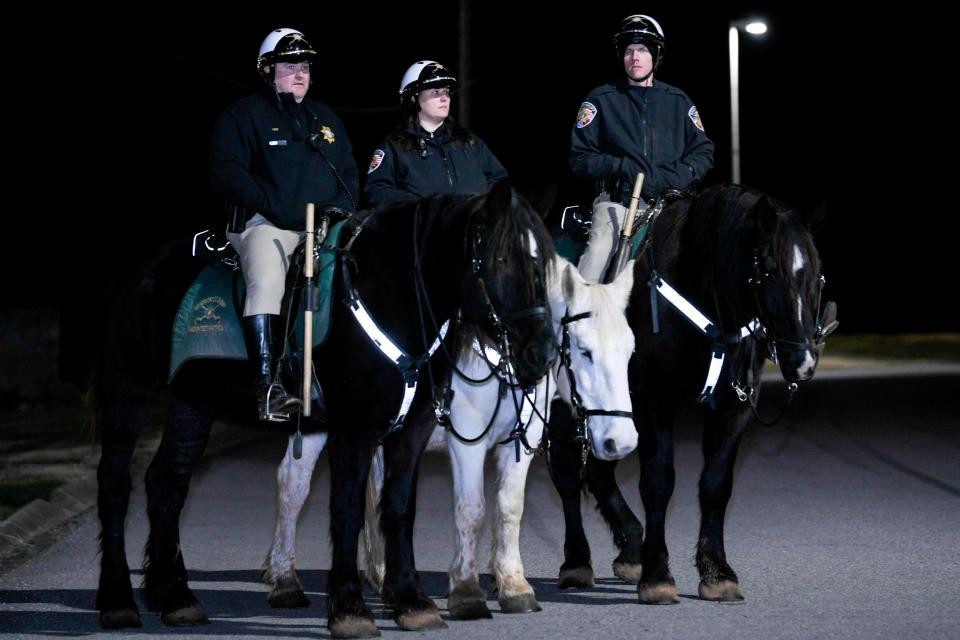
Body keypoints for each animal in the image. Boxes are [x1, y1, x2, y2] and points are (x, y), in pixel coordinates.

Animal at [94, 180, 560, 636]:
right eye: (501, 258)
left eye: (544, 262)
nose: (541, 353)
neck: (391, 295)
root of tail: (138, 269)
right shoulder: (356, 430)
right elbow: (349, 511)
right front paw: (350, 608)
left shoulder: (411, 431)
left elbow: (398, 509)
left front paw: (411, 602)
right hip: (127, 391)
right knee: (117, 484)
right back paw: (118, 602)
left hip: (192, 402)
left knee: (167, 482)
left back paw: (174, 597)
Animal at [262, 256, 636, 620]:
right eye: (584, 351)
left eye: (630, 351)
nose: (621, 441)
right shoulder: (467, 439)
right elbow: (471, 510)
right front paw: (466, 591)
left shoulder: (520, 440)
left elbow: (509, 507)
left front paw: (513, 586)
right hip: (318, 424)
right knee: (293, 485)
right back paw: (284, 579)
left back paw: (383, 580)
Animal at [548, 184, 832, 604]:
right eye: (766, 270)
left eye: (816, 272)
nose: (803, 362)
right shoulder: (651, 402)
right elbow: (658, 482)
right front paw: (657, 575)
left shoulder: (733, 408)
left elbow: (715, 485)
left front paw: (717, 572)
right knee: (568, 473)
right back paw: (576, 563)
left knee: (599, 470)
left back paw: (630, 547)